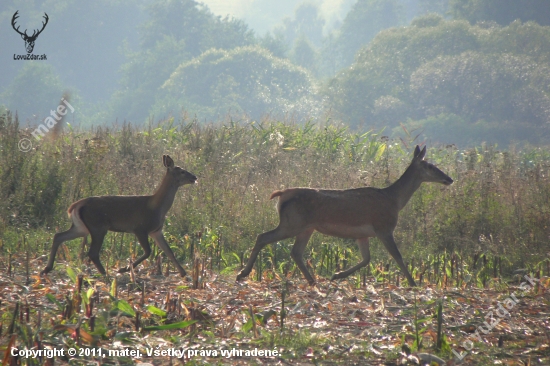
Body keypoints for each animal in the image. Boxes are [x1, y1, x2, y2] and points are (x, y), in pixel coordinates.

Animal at [42, 154, 198, 278]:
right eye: (182, 171)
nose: (194, 177)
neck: (157, 207)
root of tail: (75, 206)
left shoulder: (156, 231)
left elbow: (169, 251)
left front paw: (184, 273)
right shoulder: (140, 228)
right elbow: (148, 252)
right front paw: (124, 269)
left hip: (81, 227)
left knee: (59, 236)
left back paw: (47, 268)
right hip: (97, 226)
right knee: (92, 252)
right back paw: (105, 274)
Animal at [235, 145, 454, 286]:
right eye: (430, 166)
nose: (449, 178)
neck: (395, 201)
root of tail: (281, 195)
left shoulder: (363, 234)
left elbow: (367, 259)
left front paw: (337, 274)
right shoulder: (384, 227)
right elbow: (397, 256)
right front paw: (413, 283)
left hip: (306, 227)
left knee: (295, 252)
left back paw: (313, 280)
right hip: (292, 223)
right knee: (263, 237)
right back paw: (242, 273)